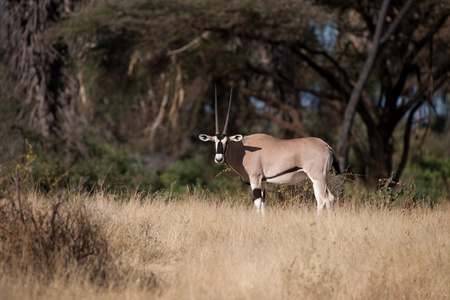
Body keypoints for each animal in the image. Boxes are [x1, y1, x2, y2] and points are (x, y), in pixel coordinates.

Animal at [198, 88, 342, 214]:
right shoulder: (262, 182)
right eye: (214, 142)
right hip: (319, 178)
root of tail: (327, 146)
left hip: (318, 177)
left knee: (324, 199)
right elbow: (263, 204)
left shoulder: (255, 179)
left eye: (227, 142)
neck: (243, 149)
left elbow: (257, 203)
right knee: (327, 199)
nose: (219, 159)